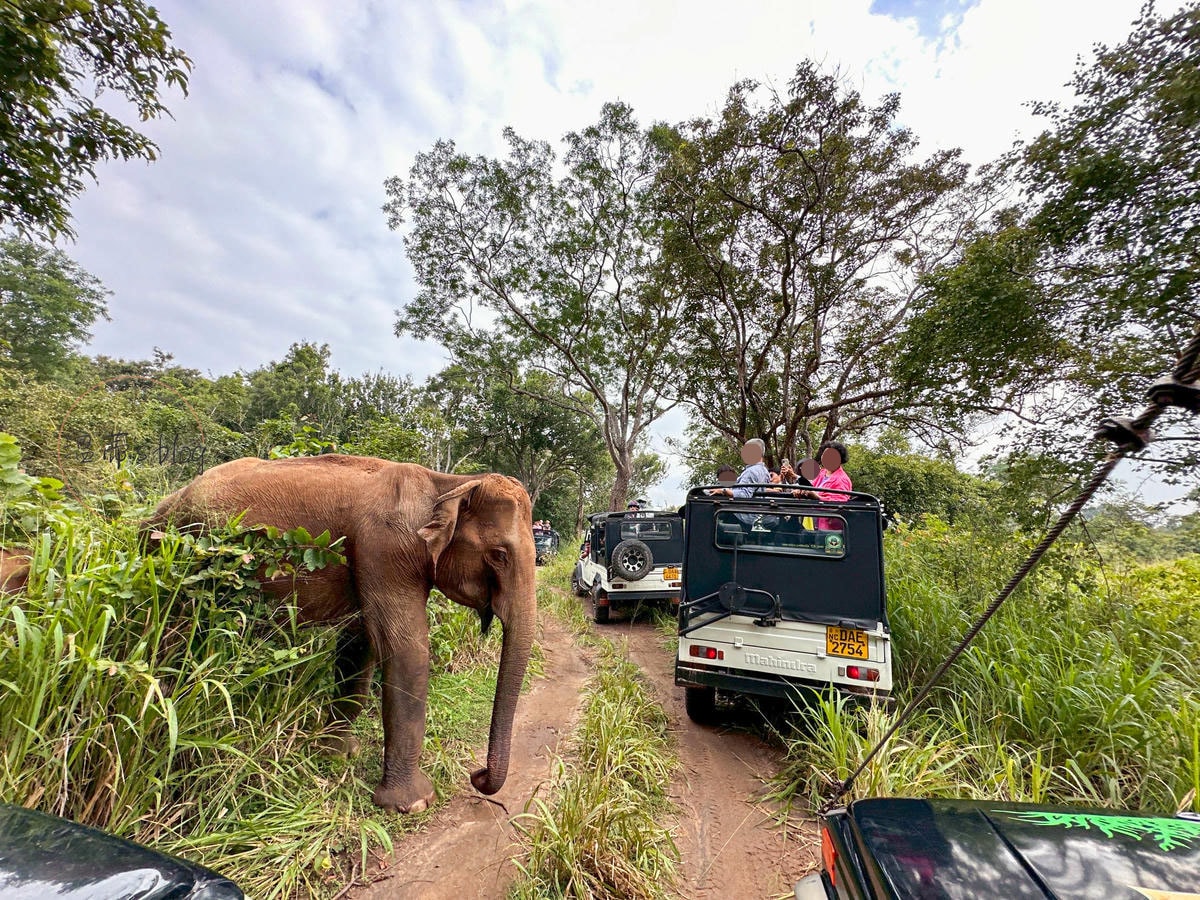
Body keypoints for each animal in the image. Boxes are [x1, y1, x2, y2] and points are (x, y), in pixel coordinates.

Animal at [143, 454, 537, 814]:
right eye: (499, 555)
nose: (477, 775)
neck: (448, 483)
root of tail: (169, 500)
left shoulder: (370, 560)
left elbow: (359, 641)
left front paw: (337, 753)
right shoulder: (385, 549)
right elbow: (403, 647)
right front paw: (413, 803)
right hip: (188, 554)